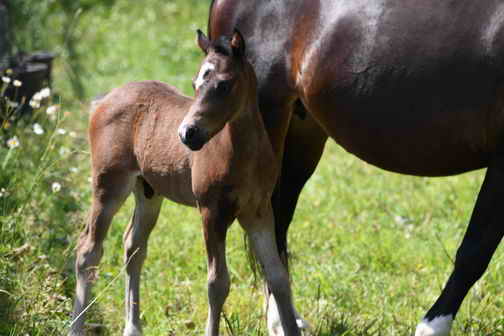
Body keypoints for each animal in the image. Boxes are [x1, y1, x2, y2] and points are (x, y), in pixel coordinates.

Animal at [69, 30, 302, 334]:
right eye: (195, 84)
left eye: (223, 85)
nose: (187, 134)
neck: (243, 153)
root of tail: (106, 98)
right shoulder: (211, 212)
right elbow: (217, 283)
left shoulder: (258, 210)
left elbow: (277, 276)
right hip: (109, 185)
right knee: (88, 251)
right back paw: (76, 326)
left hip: (148, 191)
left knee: (133, 247)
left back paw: (133, 327)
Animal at [204, 0, 504, 336]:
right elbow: (475, 250)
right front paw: (431, 327)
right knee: (267, 223)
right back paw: (280, 321)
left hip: (301, 131)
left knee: (278, 218)